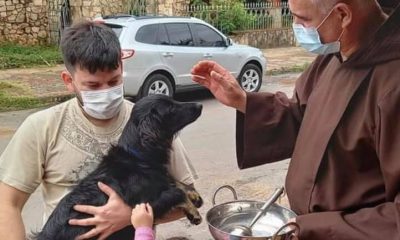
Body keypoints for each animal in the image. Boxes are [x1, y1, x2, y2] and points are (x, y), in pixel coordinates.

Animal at [35, 94, 203, 239]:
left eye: (173, 101)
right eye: (171, 108)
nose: (199, 105)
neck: (137, 156)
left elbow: (175, 182)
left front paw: (193, 196)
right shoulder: (144, 204)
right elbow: (176, 192)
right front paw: (193, 211)